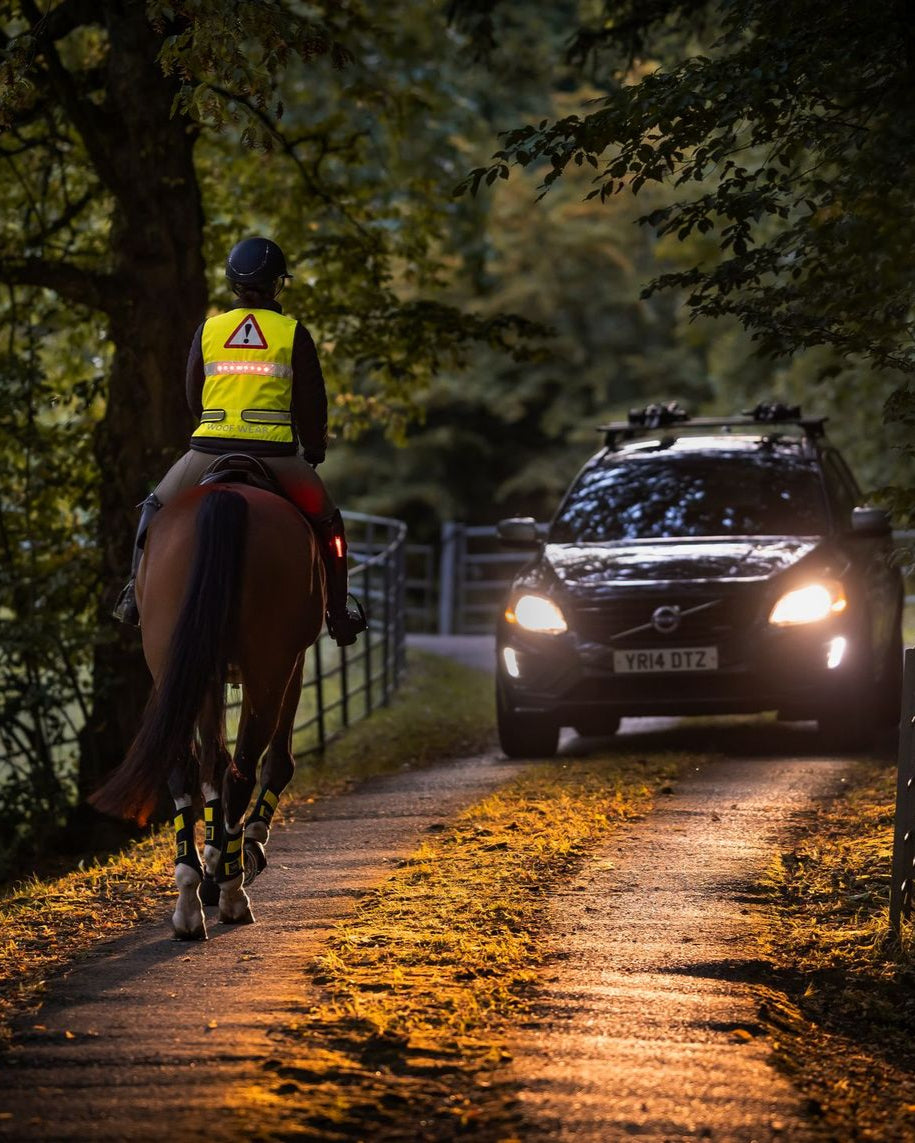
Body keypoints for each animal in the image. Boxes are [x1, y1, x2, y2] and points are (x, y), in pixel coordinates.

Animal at [91, 481, 326, 939]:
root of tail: (227, 494)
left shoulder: (207, 670)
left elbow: (211, 764)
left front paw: (214, 862)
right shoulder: (294, 662)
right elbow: (275, 763)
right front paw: (240, 850)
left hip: (174, 657)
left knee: (185, 768)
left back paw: (189, 902)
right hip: (268, 667)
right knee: (242, 771)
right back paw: (234, 894)